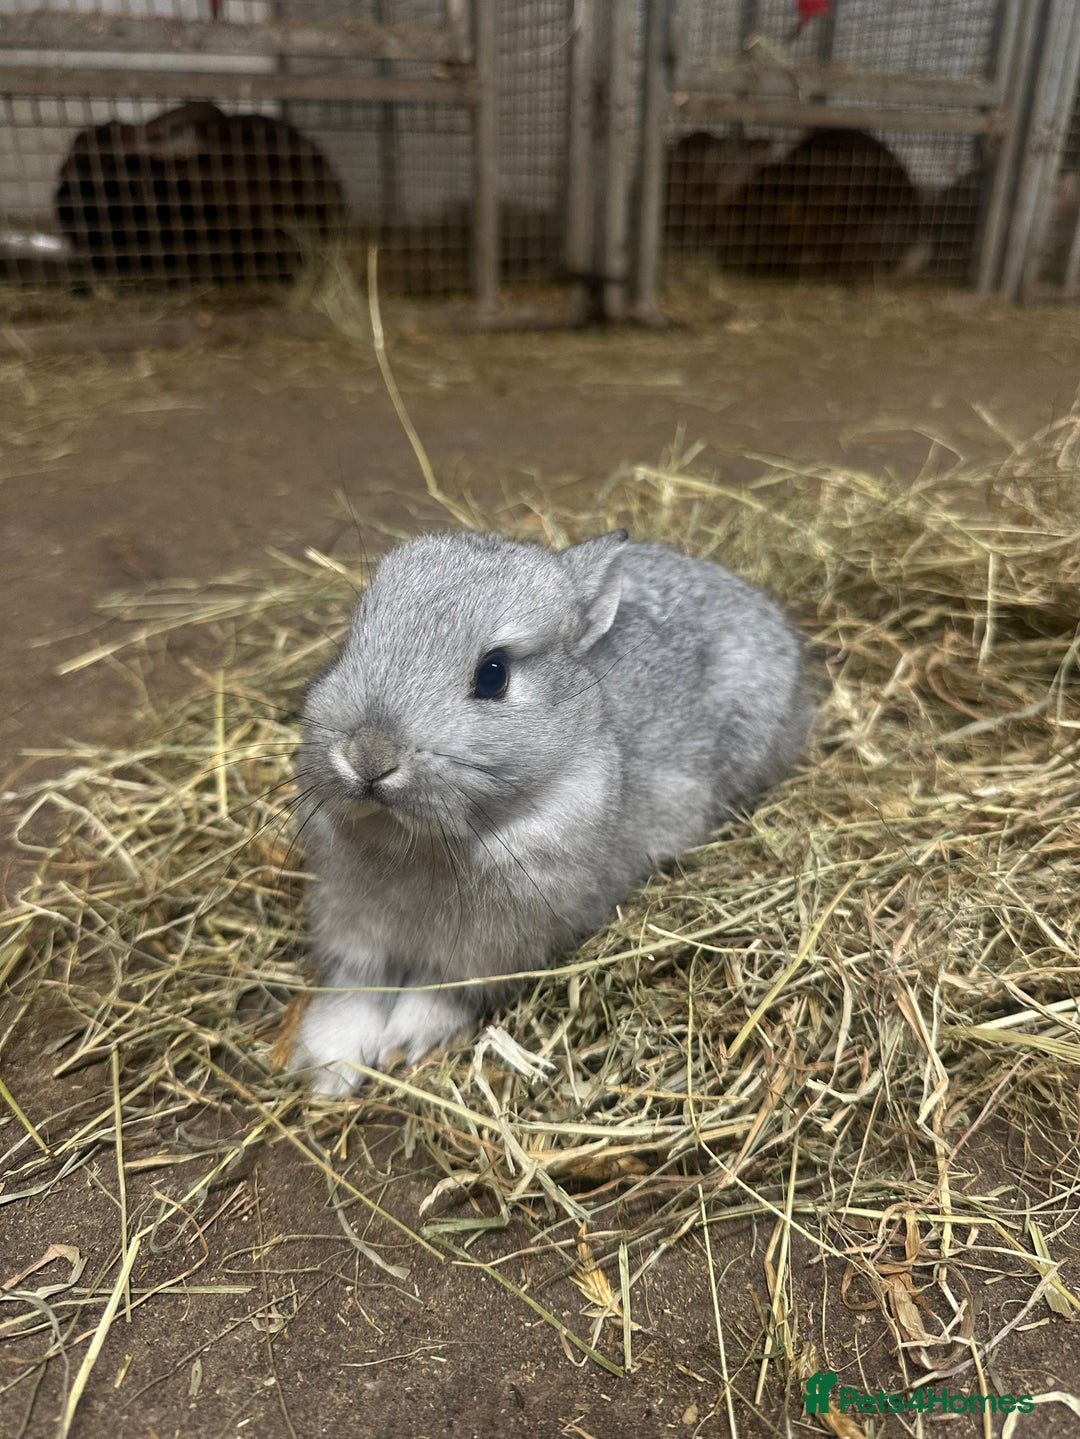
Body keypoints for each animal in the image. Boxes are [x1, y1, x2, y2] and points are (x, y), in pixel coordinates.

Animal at [291, 529, 810, 1095]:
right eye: (351, 643)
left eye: (493, 675)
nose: (369, 756)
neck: (419, 843)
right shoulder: (352, 929)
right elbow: (354, 992)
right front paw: (326, 1072)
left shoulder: (487, 952)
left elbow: (441, 993)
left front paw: (401, 1044)